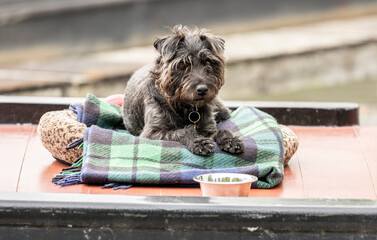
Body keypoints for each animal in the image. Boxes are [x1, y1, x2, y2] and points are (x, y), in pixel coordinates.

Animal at [121, 24, 244, 156]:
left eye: (208, 62)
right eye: (182, 65)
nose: (202, 90)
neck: (184, 106)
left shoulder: (208, 128)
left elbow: (222, 131)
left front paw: (231, 140)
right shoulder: (151, 133)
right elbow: (182, 131)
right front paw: (199, 142)